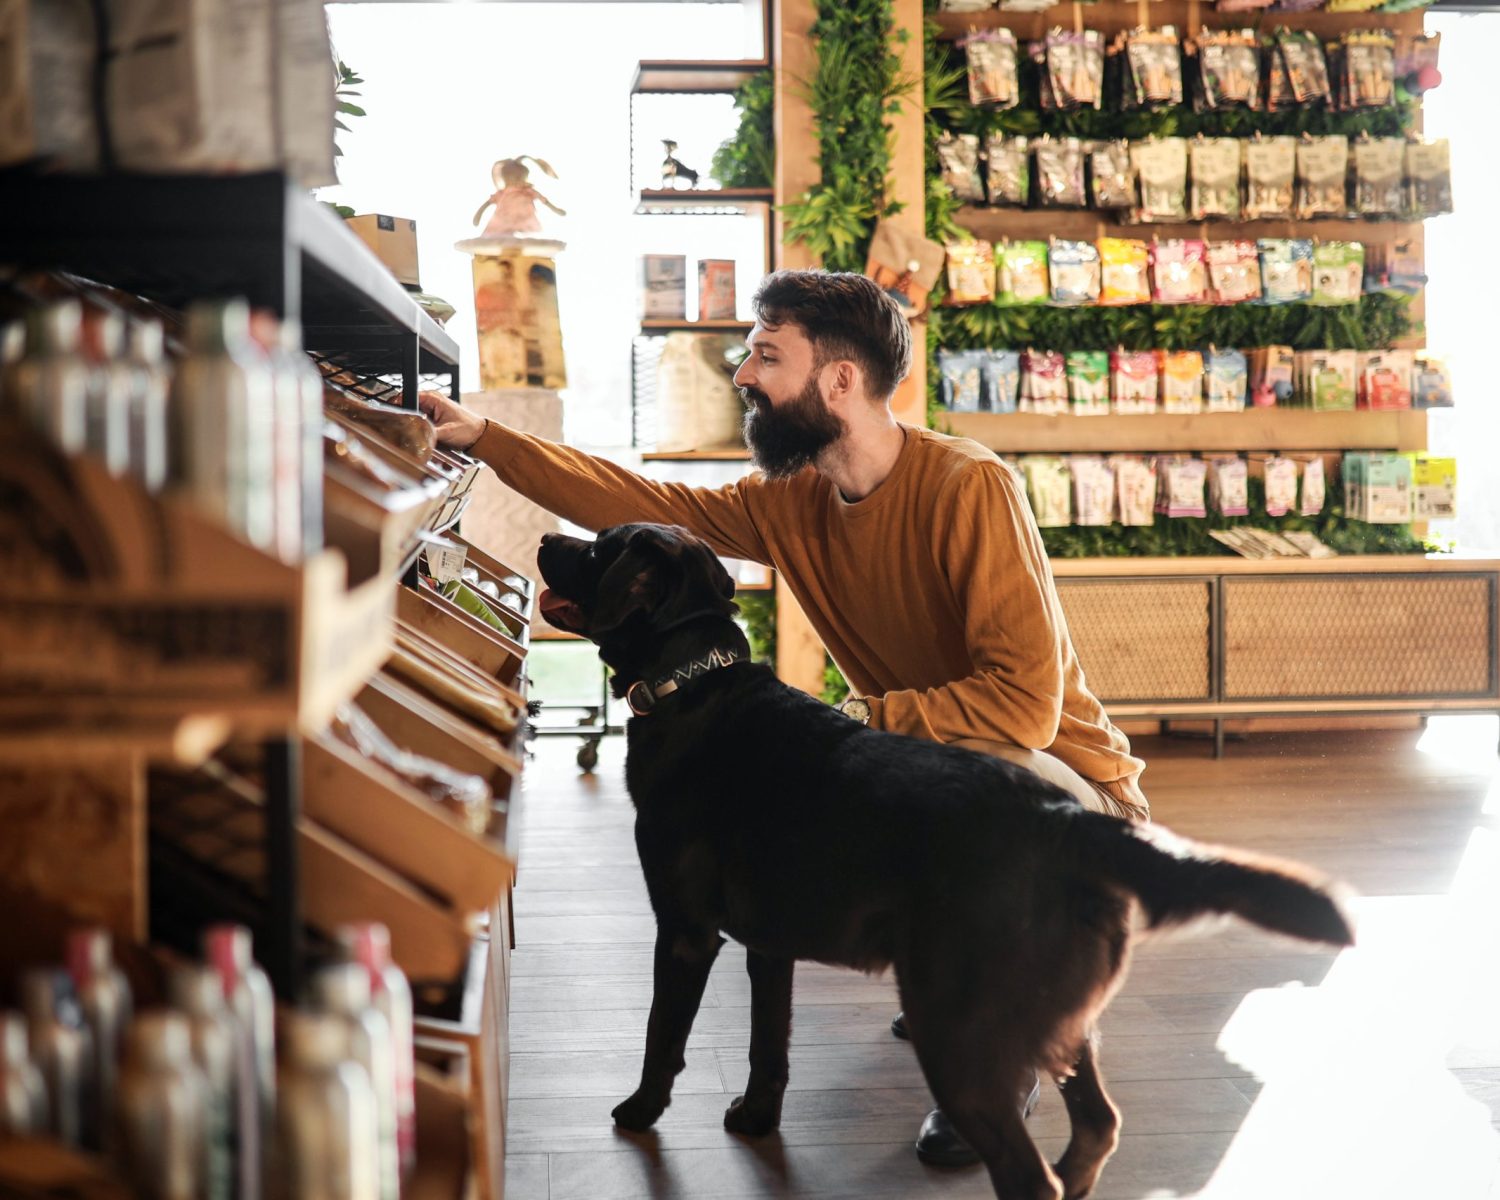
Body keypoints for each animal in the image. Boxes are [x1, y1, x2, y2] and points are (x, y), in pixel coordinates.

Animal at [537, 522, 1350, 1200]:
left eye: (598, 547)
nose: (545, 537)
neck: (693, 685)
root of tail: (1062, 820)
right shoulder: (770, 946)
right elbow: (770, 1045)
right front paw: (756, 1120)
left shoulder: (684, 932)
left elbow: (661, 1036)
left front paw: (639, 1112)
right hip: (1062, 1020)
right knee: (1097, 1129)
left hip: (958, 1025)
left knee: (1028, 1174)